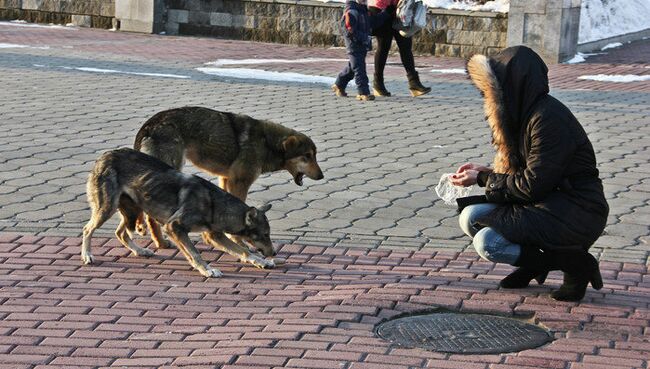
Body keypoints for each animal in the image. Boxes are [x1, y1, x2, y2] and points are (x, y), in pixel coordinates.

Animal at [81, 147, 274, 276]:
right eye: (265, 235)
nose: (274, 253)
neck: (213, 203)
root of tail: (104, 155)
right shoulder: (174, 227)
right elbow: (195, 253)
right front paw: (207, 270)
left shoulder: (214, 236)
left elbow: (243, 251)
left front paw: (260, 261)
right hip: (108, 208)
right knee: (87, 229)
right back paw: (87, 255)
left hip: (133, 210)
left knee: (120, 233)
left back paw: (140, 251)